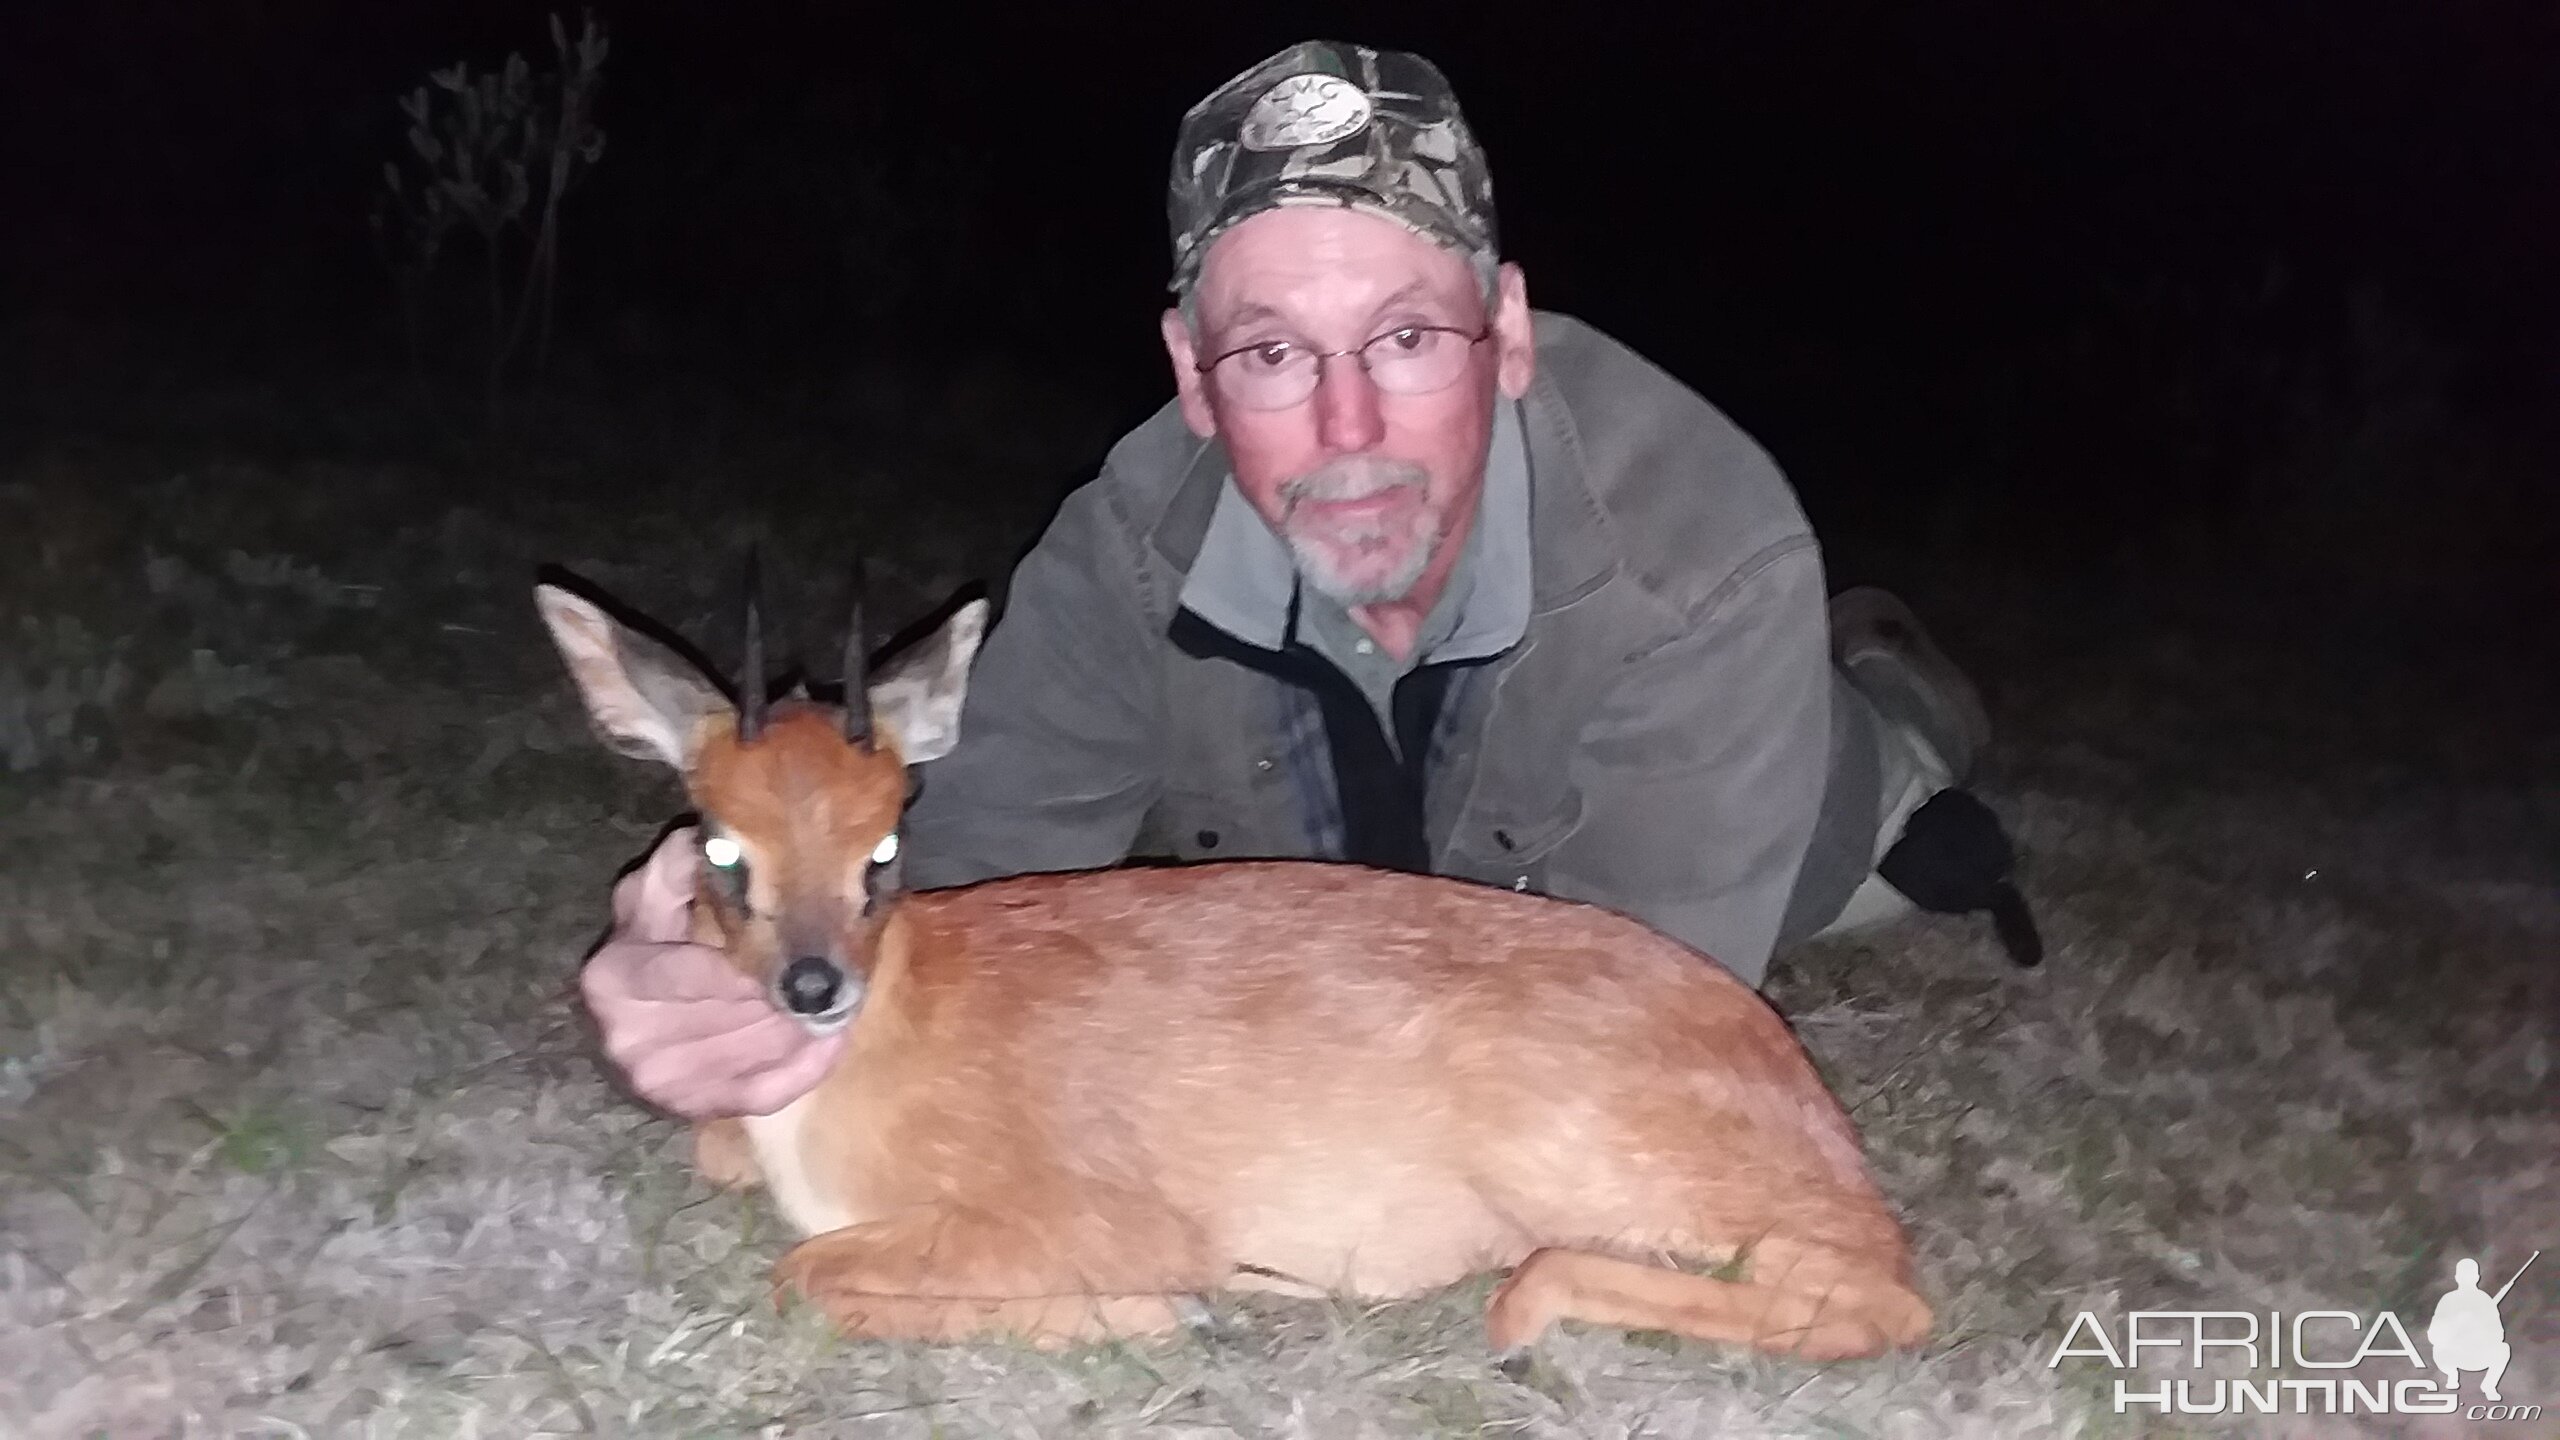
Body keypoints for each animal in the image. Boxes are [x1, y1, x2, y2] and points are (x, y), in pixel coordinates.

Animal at [545, 563, 1935, 1352]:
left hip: (1587, 1155)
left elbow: (805, 1273)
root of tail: (1818, 1121)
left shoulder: (1092, 1212)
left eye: (887, 842)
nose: (813, 987)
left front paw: (1166, 1311)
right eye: (719, 848)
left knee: (1882, 1300)